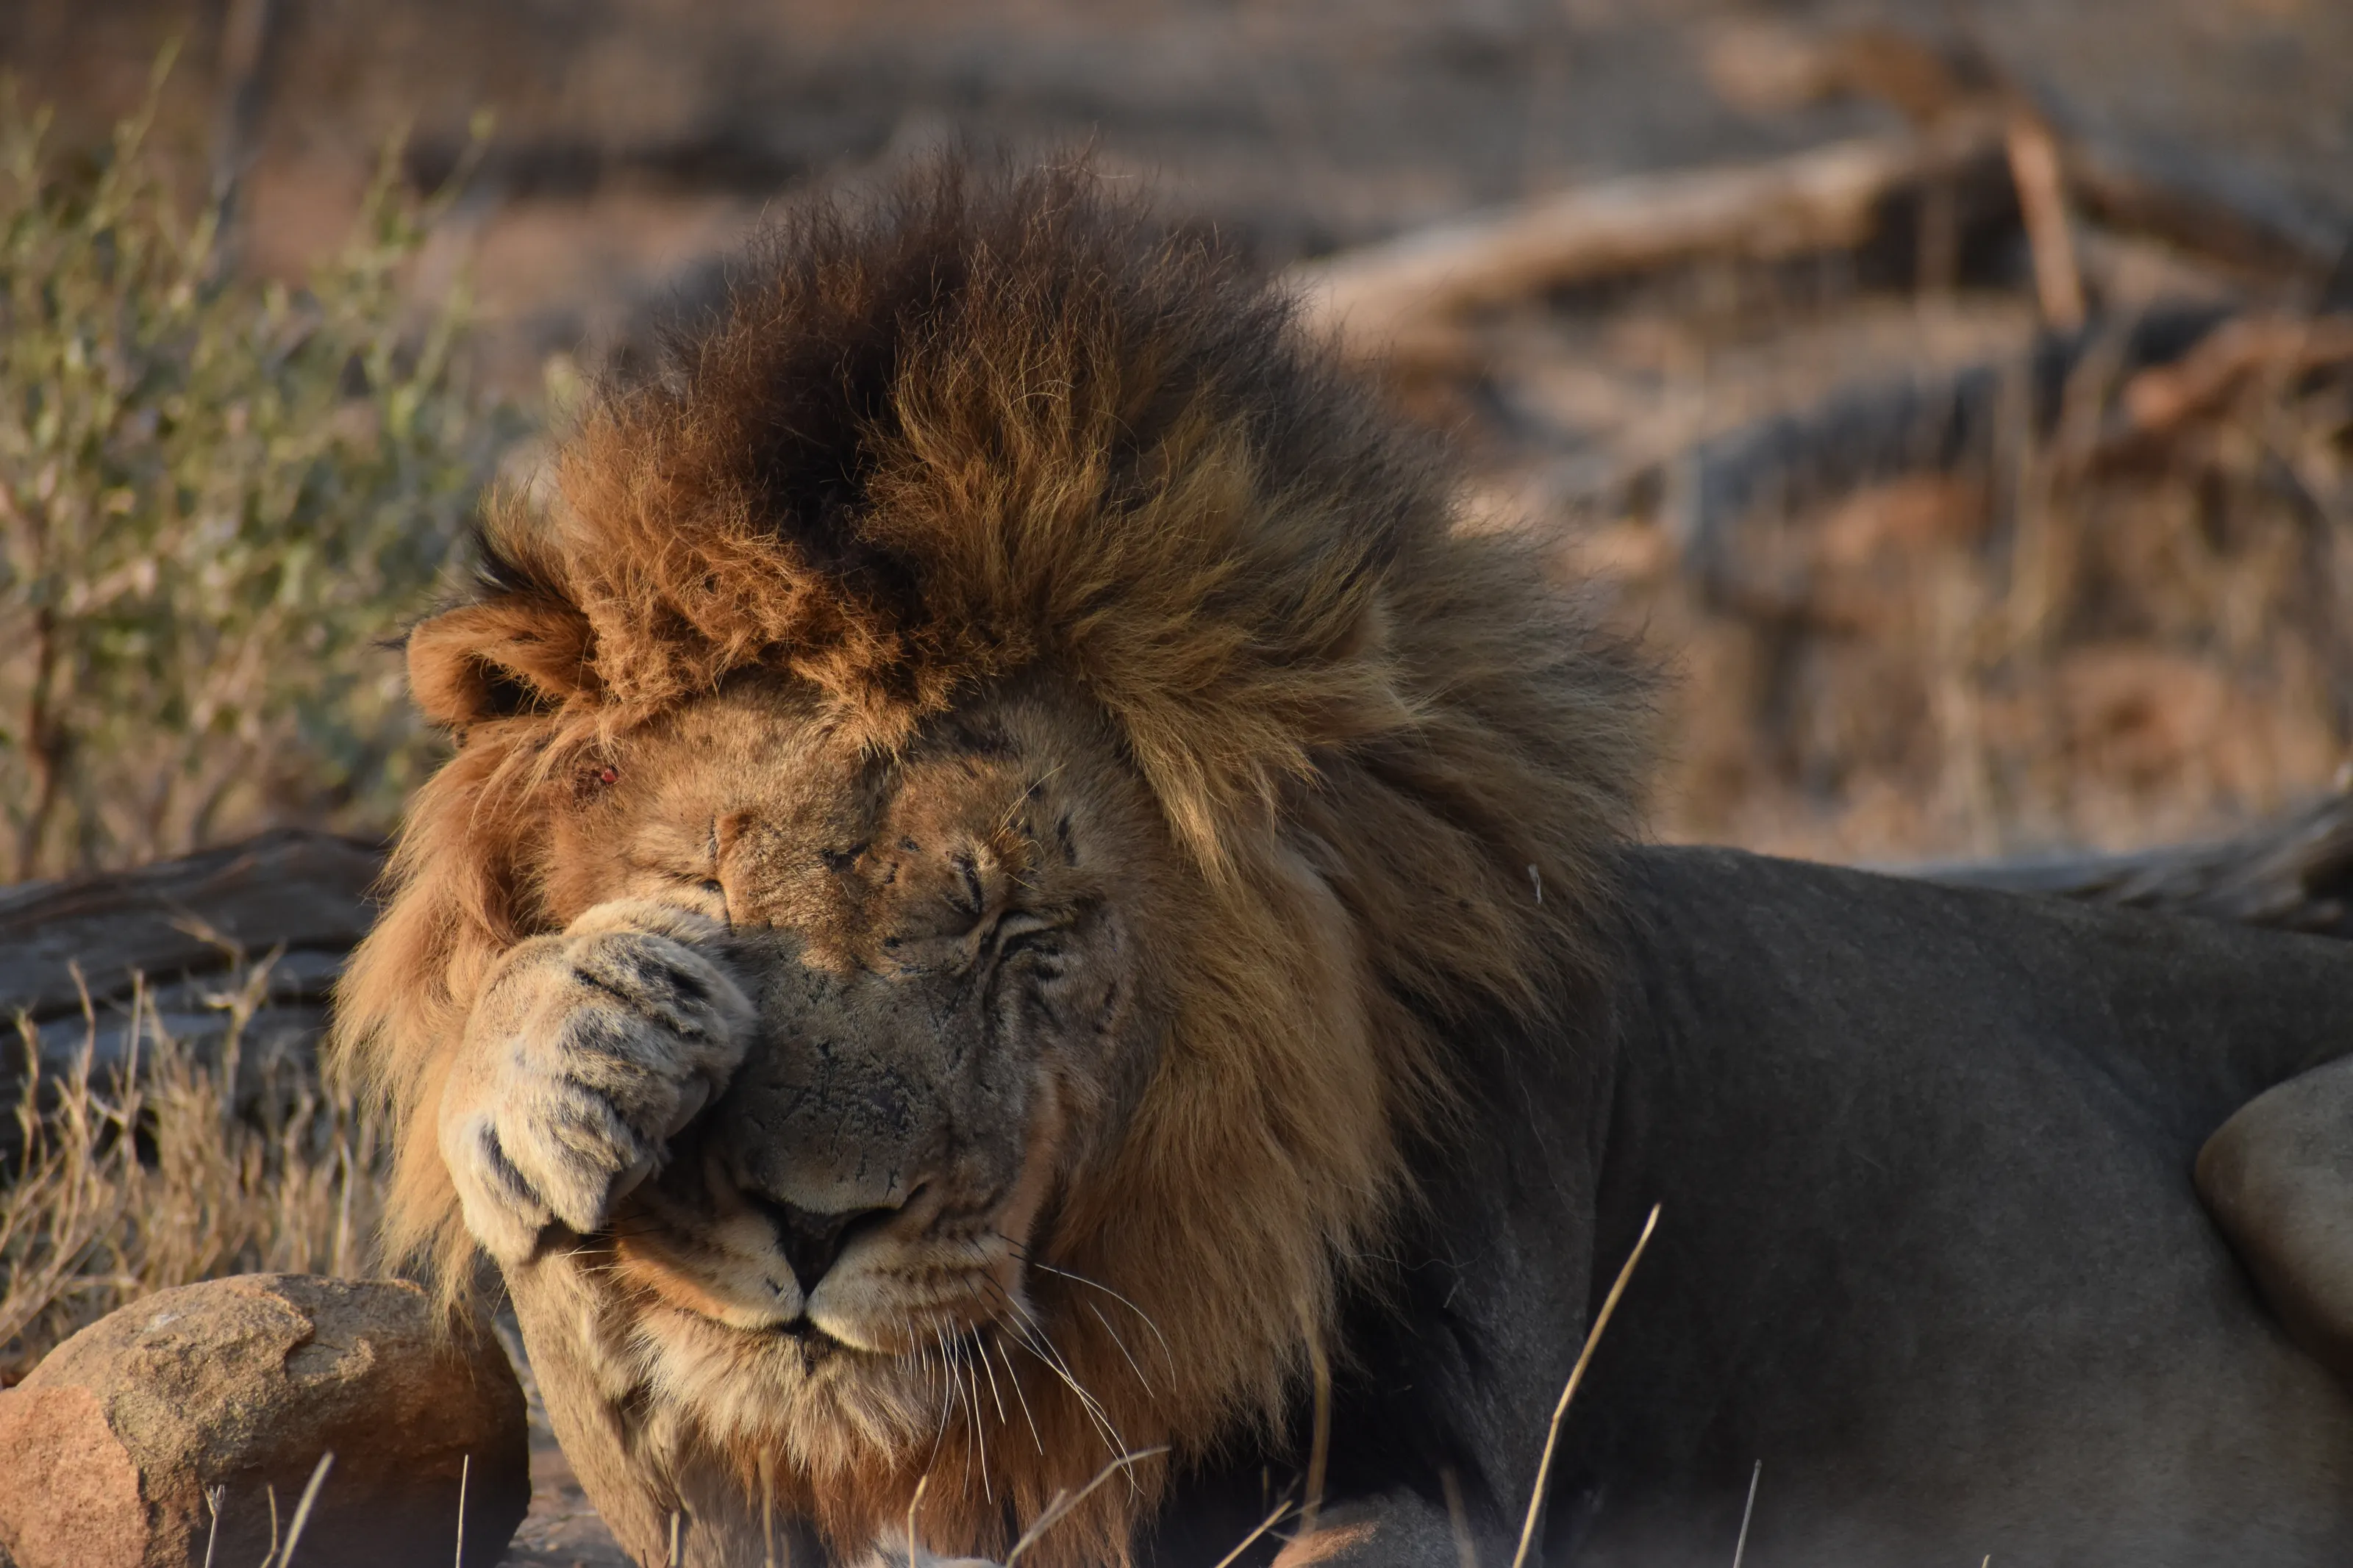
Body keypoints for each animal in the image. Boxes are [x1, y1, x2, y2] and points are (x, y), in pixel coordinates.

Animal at [336, 161, 2353, 1568]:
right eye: (711, 896)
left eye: (1022, 934)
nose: (817, 1224)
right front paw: (560, 1056)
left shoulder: (1445, 1446)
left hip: (2277, 1131)